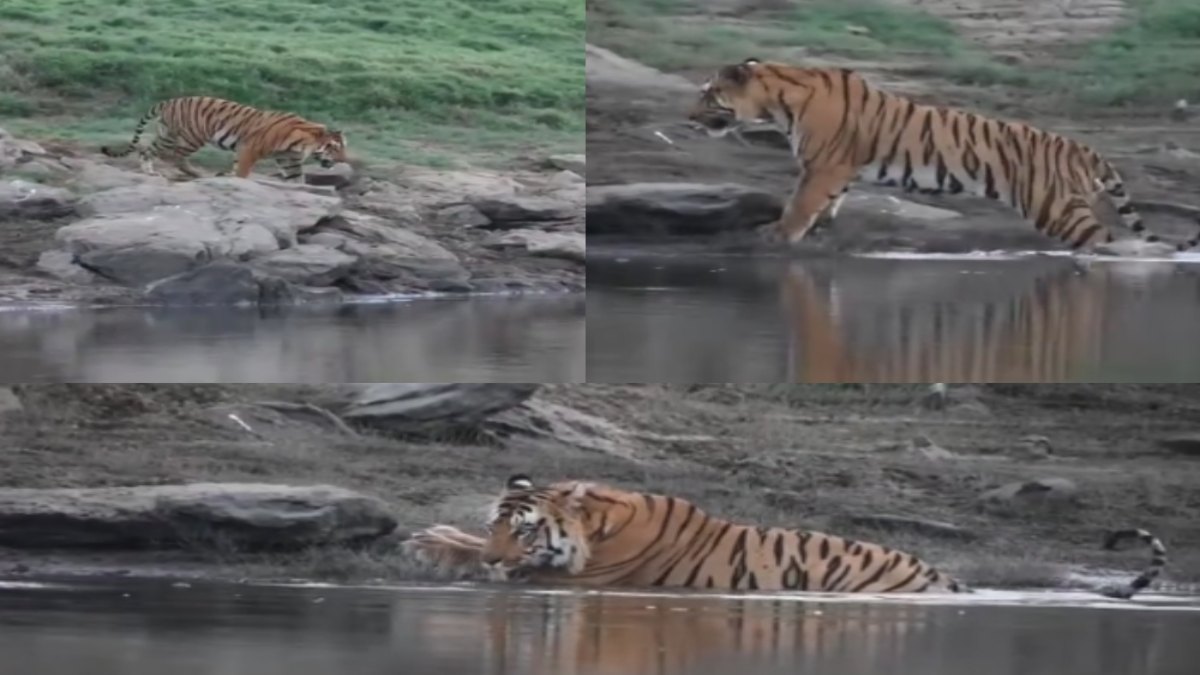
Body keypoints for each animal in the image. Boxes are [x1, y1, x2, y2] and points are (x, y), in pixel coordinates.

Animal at [100, 96, 347, 181]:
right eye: (335, 148)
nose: (344, 161)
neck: (303, 143)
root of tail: (168, 101)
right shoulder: (250, 148)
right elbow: (242, 172)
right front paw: (235, 180)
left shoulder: (288, 159)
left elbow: (297, 180)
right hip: (190, 137)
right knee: (171, 156)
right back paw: (192, 173)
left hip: (167, 134)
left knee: (149, 150)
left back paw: (152, 172)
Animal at [687, 59, 1200, 253]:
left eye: (708, 95)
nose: (686, 117)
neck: (778, 100)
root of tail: (1083, 146)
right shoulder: (837, 169)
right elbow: (827, 203)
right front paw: (821, 227)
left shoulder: (824, 165)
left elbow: (800, 203)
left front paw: (777, 235)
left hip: (1054, 208)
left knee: (1106, 241)